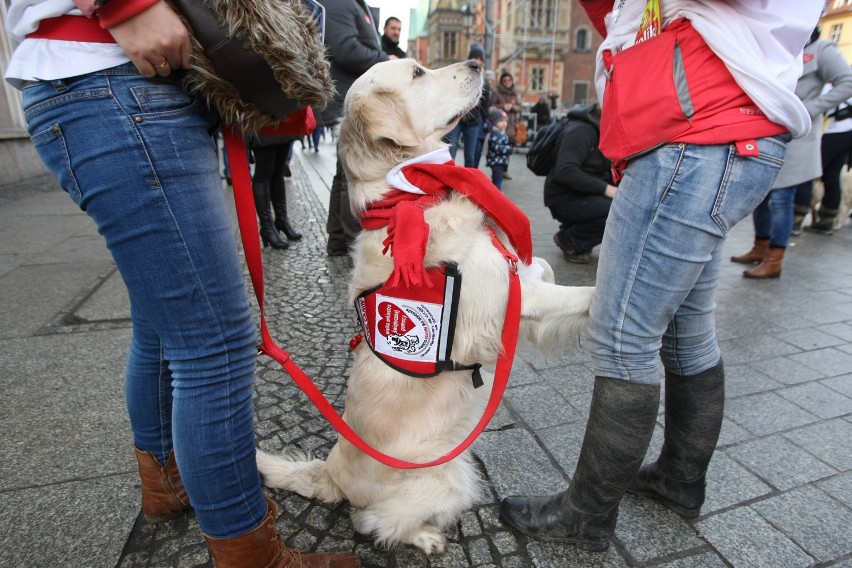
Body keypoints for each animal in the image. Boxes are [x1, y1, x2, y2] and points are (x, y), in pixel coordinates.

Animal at [256, 60, 596, 556]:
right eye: (418, 72)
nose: (478, 63)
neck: (411, 197)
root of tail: (332, 471)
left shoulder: (508, 277)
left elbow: (540, 268)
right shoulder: (501, 301)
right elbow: (579, 294)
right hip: (449, 476)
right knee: (371, 522)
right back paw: (426, 536)